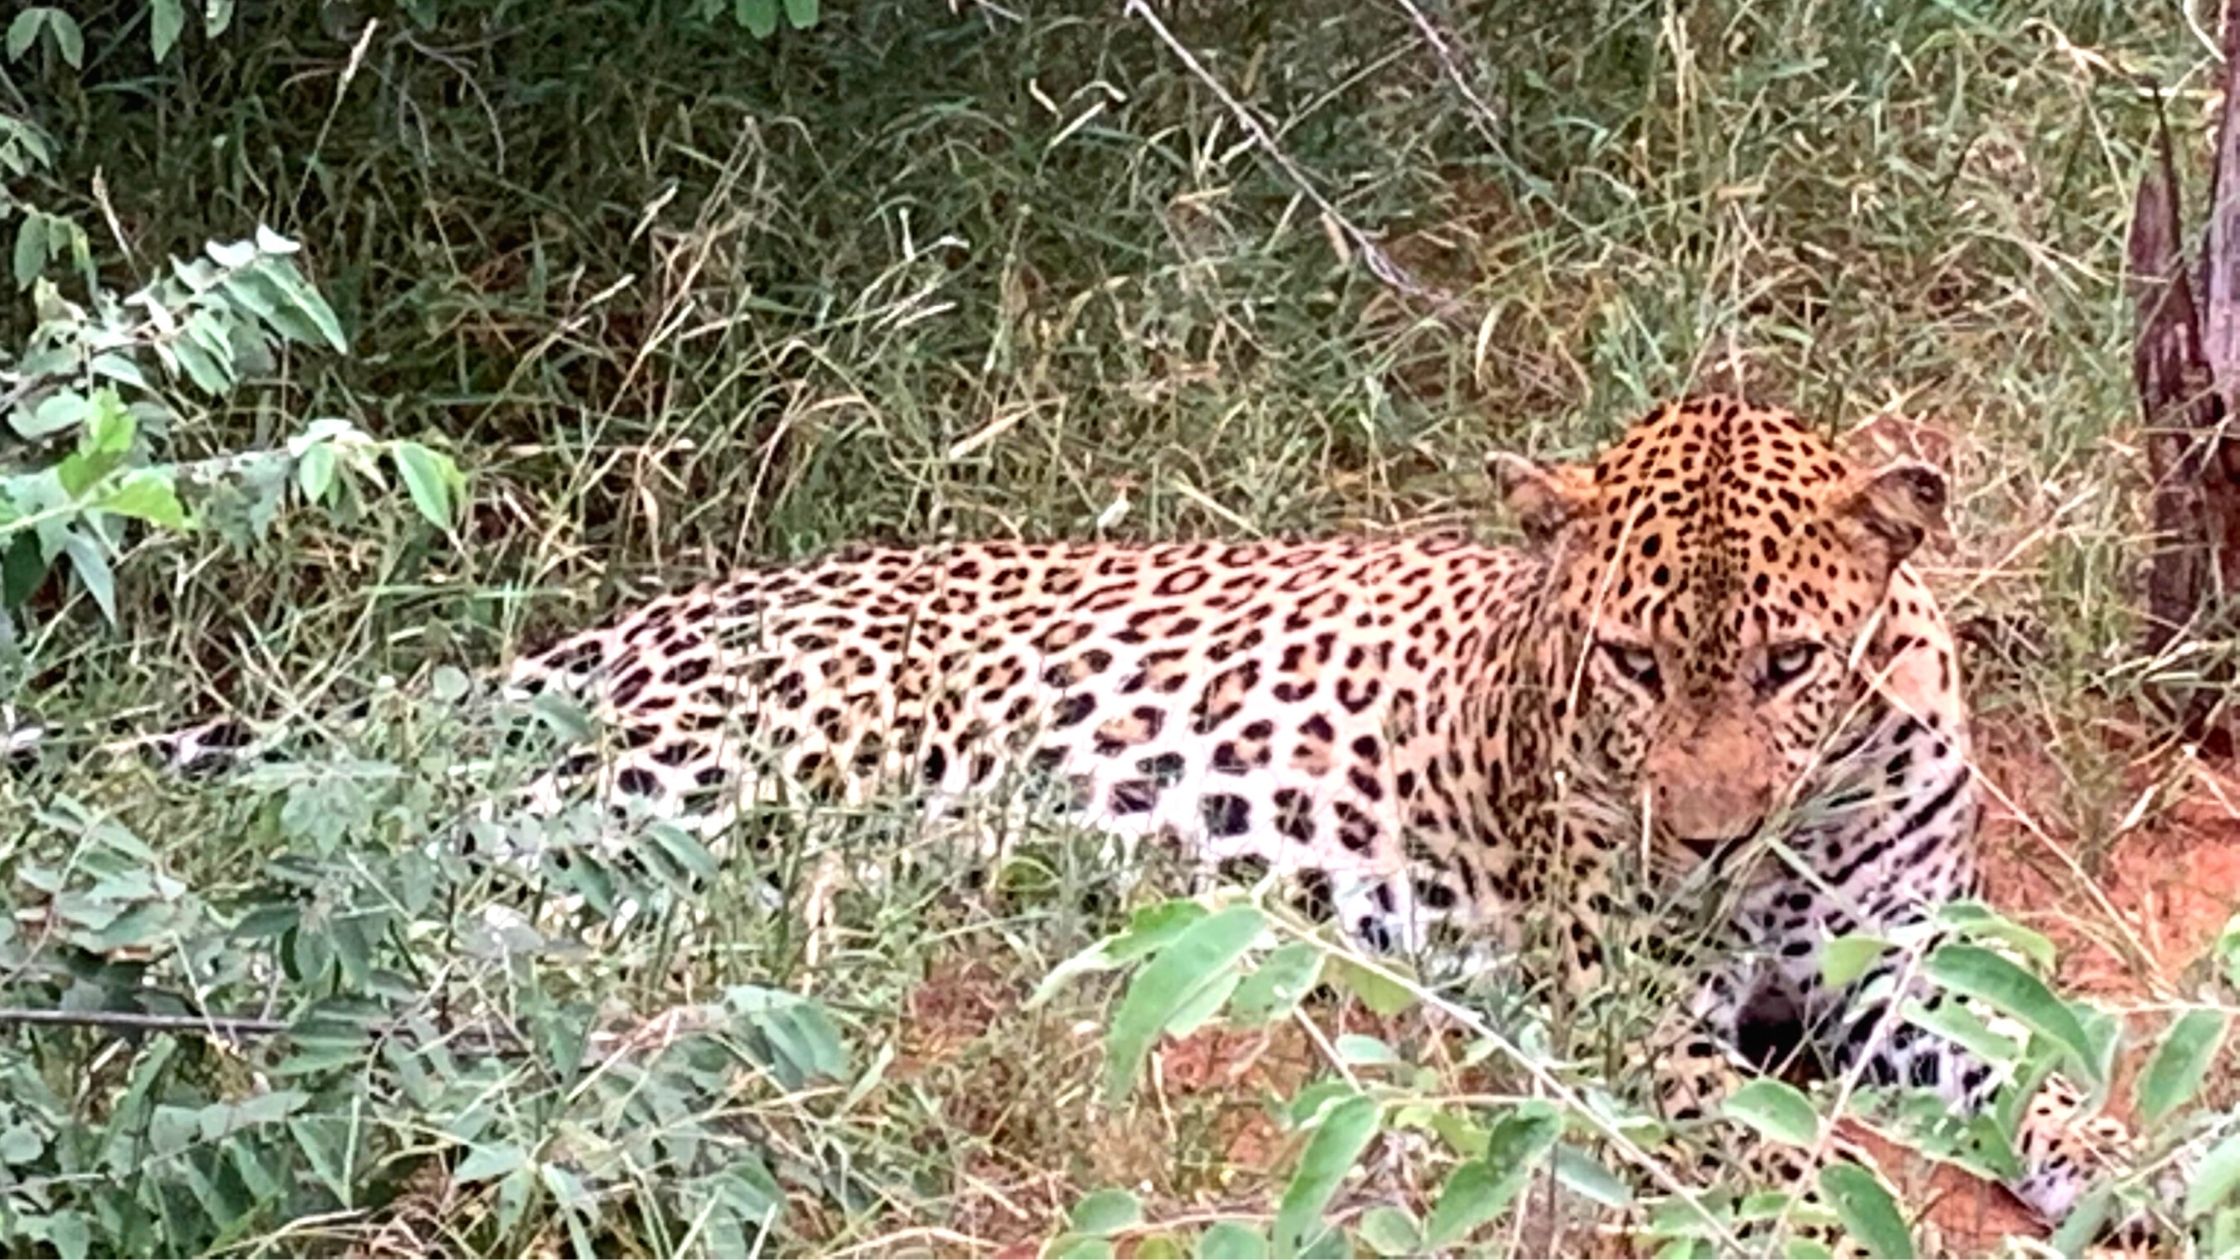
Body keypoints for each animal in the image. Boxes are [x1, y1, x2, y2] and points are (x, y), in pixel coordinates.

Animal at [70, 392, 2168, 1237]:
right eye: (1635, 668)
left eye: (1794, 662)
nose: (1712, 838)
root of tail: (627, 625)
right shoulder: (1621, 1008)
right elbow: (1749, 1141)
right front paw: (1814, 1215)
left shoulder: (1898, 967)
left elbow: (2052, 1064)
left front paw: (2138, 1169)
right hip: (708, 776)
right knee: (415, 885)